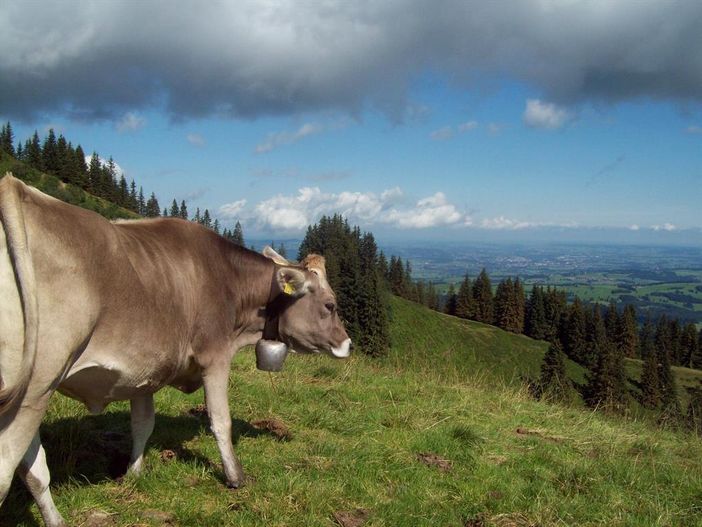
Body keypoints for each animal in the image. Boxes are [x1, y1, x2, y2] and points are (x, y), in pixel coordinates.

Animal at [0, 174, 352, 527]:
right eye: (330, 305)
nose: (347, 343)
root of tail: (14, 188)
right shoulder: (215, 355)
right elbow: (221, 420)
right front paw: (235, 477)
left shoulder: (144, 370)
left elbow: (143, 424)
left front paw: (134, 475)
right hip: (34, 388)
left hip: (33, 392)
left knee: (33, 469)